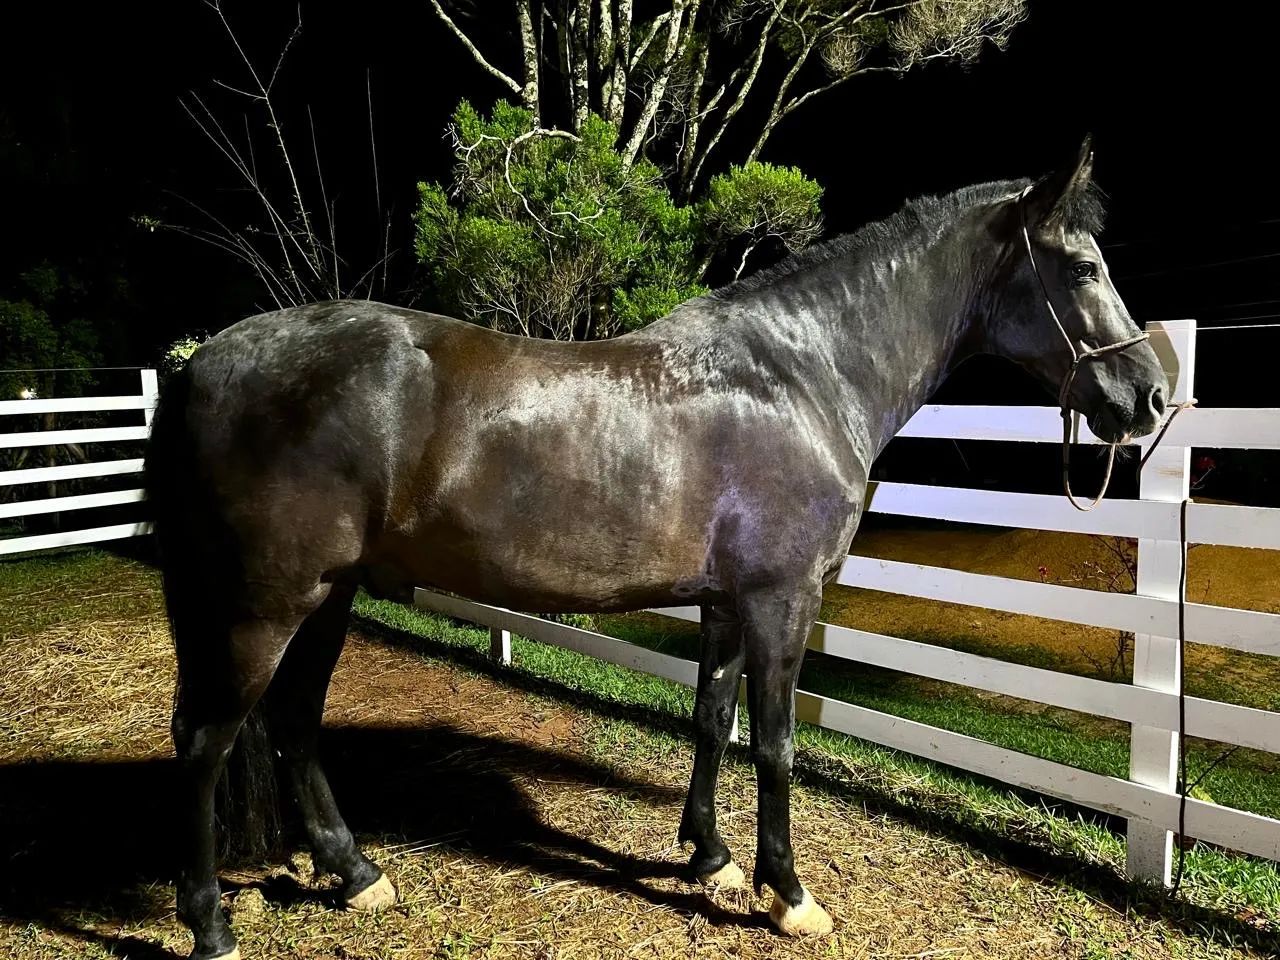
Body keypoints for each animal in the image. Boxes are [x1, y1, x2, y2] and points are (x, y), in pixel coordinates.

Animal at [144, 136, 1169, 959]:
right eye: (1083, 267)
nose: (1150, 396)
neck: (802, 374)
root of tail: (203, 362)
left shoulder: (725, 601)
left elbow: (712, 722)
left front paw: (710, 859)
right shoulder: (783, 600)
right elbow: (777, 744)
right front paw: (788, 896)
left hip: (330, 595)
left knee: (293, 724)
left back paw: (358, 876)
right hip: (268, 604)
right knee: (207, 738)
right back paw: (210, 924)